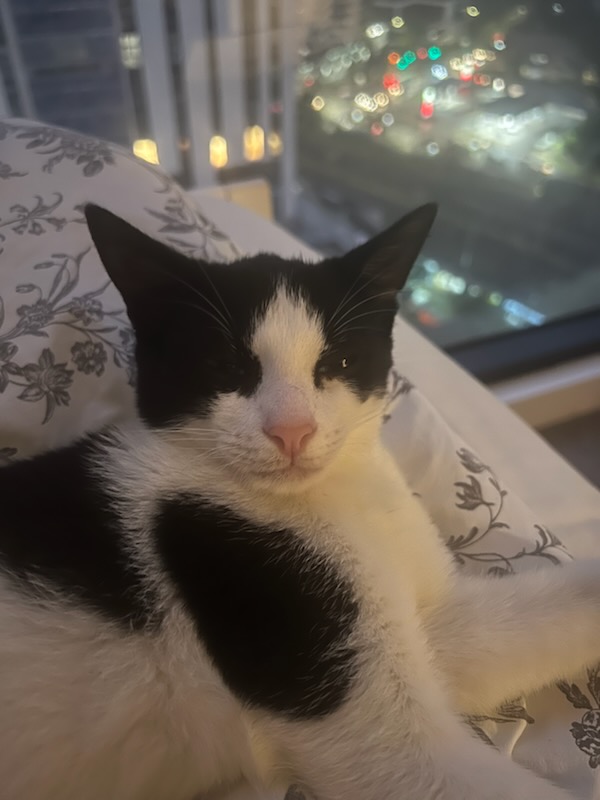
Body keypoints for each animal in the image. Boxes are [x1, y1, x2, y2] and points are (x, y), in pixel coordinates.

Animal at [0, 202, 599, 800]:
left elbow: (492, 631)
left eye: (337, 363)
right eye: (227, 366)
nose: (292, 430)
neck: (331, 498)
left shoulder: (425, 623)